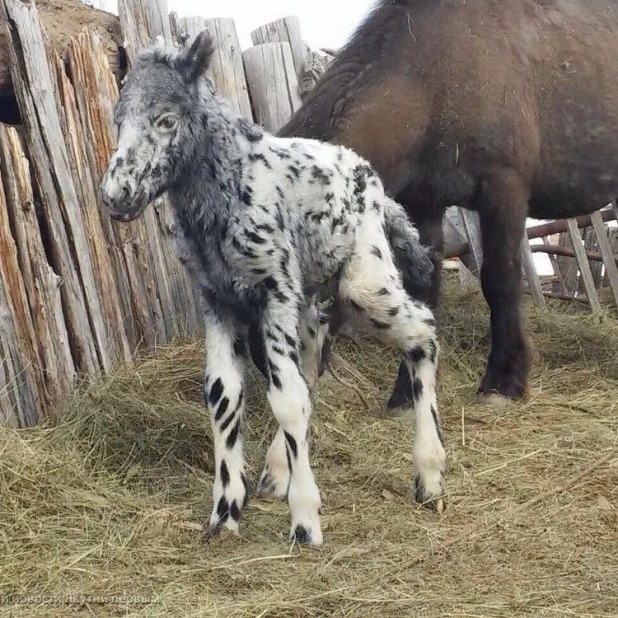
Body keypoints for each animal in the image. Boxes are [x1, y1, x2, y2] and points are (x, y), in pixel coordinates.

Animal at [276, 0, 618, 404]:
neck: (437, 77)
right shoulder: (423, 204)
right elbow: (424, 291)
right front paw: (408, 394)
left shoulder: (504, 189)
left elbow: (500, 280)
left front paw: (503, 382)